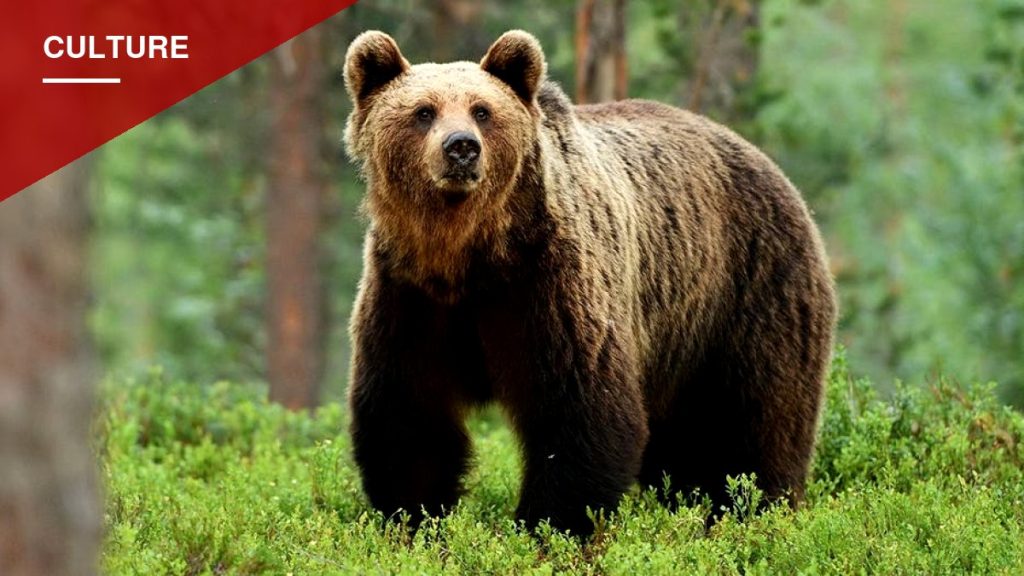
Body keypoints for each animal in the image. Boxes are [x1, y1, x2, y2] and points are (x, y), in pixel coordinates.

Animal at [343, 29, 837, 536]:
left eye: (483, 110)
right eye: (423, 111)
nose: (461, 147)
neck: (469, 255)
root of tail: (770, 166)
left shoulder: (548, 284)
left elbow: (580, 411)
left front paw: (547, 526)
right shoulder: (411, 295)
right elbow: (409, 417)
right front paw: (414, 520)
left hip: (749, 291)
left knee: (758, 421)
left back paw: (754, 510)